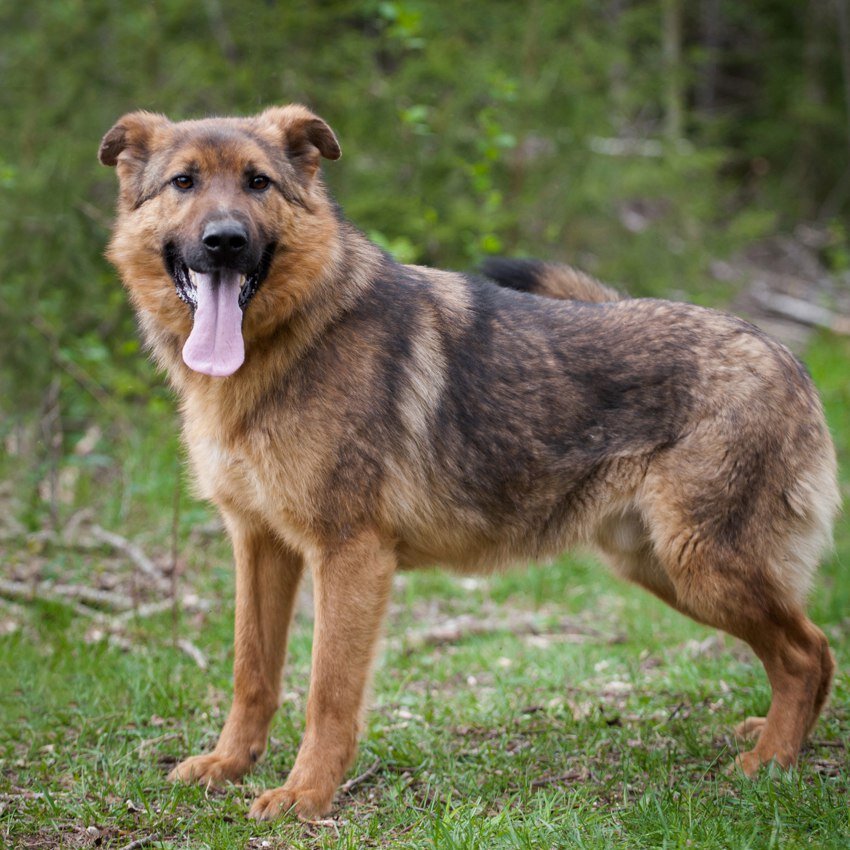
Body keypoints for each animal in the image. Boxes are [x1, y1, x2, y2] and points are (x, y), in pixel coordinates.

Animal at [97, 102, 836, 820]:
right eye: (184, 182)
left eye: (257, 183)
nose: (225, 240)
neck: (290, 340)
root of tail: (784, 354)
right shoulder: (259, 546)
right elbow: (252, 672)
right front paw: (230, 764)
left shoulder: (349, 555)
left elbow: (328, 694)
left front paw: (306, 796)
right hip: (660, 565)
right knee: (806, 653)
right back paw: (776, 737)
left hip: (701, 565)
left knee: (809, 652)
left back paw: (772, 760)